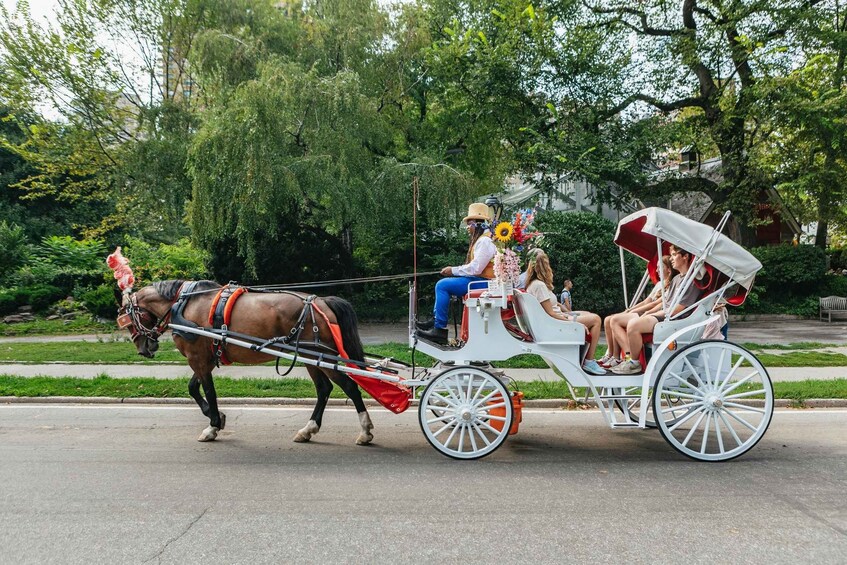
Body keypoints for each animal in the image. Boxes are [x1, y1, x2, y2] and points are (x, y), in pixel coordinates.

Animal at [118, 280, 374, 448]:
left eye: (127, 319)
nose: (143, 348)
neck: (183, 305)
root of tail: (322, 301)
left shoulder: (197, 358)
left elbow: (208, 391)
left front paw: (212, 425)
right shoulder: (205, 358)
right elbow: (193, 388)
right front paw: (217, 417)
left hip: (321, 356)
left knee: (349, 387)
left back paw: (365, 431)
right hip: (310, 357)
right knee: (324, 389)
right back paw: (308, 429)